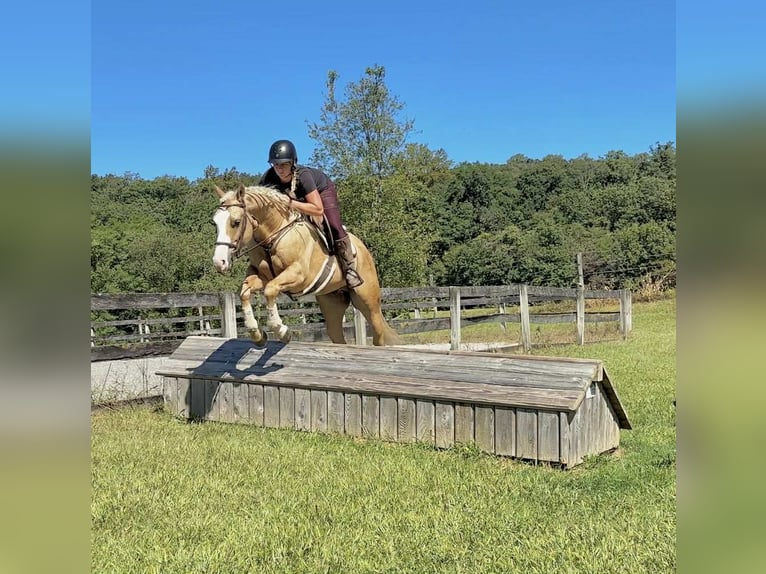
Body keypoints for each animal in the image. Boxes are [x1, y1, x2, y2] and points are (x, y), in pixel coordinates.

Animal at [211, 183, 400, 347]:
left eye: (236, 222)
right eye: (215, 223)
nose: (219, 262)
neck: (272, 236)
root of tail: (364, 249)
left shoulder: (299, 275)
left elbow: (270, 290)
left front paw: (281, 331)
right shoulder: (262, 275)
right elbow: (244, 291)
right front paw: (256, 334)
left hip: (367, 299)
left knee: (378, 332)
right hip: (332, 301)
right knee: (336, 334)